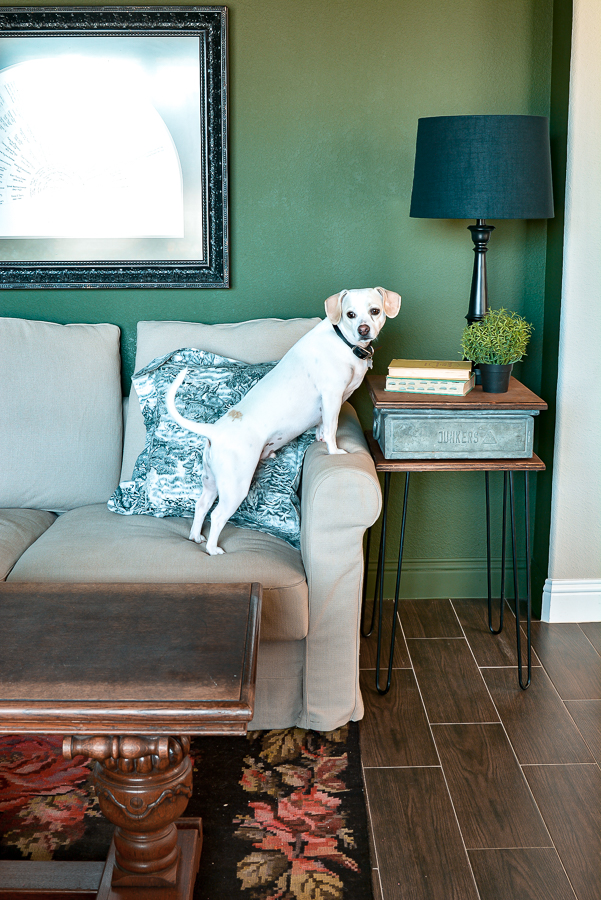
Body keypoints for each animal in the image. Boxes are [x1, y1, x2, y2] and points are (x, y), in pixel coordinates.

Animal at [165, 288, 398, 556]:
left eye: (375, 311)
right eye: (350, 314)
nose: (363, 329)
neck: (343, 342)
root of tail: (215, 431)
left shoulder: (329, 404)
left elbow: (323, 426)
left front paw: (319, 438)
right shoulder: (331, 396)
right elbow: (331, 428)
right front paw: (334, 450)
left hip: (211, 482)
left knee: (201, 505)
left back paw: (195, 536)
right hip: (235, 487)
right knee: (217, 515)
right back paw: (213, 549)